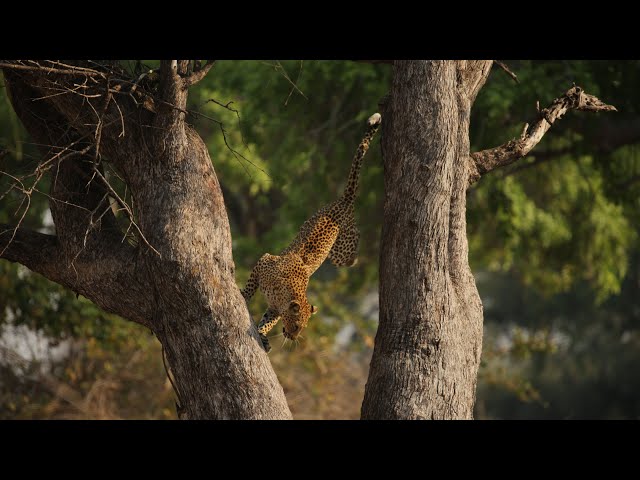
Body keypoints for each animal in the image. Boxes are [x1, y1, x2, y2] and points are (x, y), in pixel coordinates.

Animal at [241, 112, 382, 352]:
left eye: (303, 326)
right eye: (297, 324)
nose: (292, 337)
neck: (283, 292)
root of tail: (345, 201)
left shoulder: (274, 308)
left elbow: (267, 322)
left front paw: (263, 335)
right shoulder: (264, 260)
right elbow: (251, 286)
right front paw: (244, 295)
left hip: (338, 254)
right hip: (339, 251)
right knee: (352, 251)